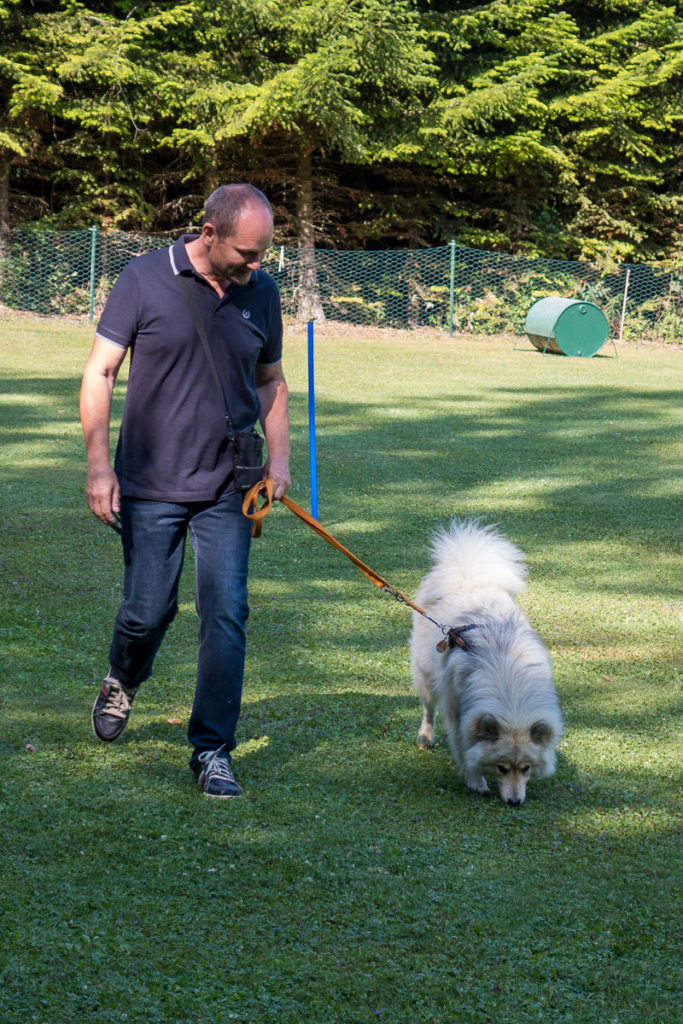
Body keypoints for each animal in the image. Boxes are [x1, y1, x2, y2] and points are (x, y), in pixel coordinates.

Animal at [411, 519, 562, 805]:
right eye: (501, 768)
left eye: (526, 768)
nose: (515, 802)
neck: (509, 687)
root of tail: (467, 576)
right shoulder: (457, 711)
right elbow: (464, 747)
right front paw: (475, 780)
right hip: (426, 674)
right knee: (428, 709)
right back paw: (425, 737)